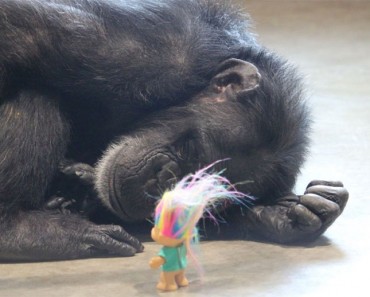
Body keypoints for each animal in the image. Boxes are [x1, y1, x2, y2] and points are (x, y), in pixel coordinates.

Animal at [0, 0, 346, 260]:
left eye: (209, 196)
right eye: (190, 148)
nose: (162, 182)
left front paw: (284, 214)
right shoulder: (149, 53)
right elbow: (18, 30)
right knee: (35, 94)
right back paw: (21, 232)